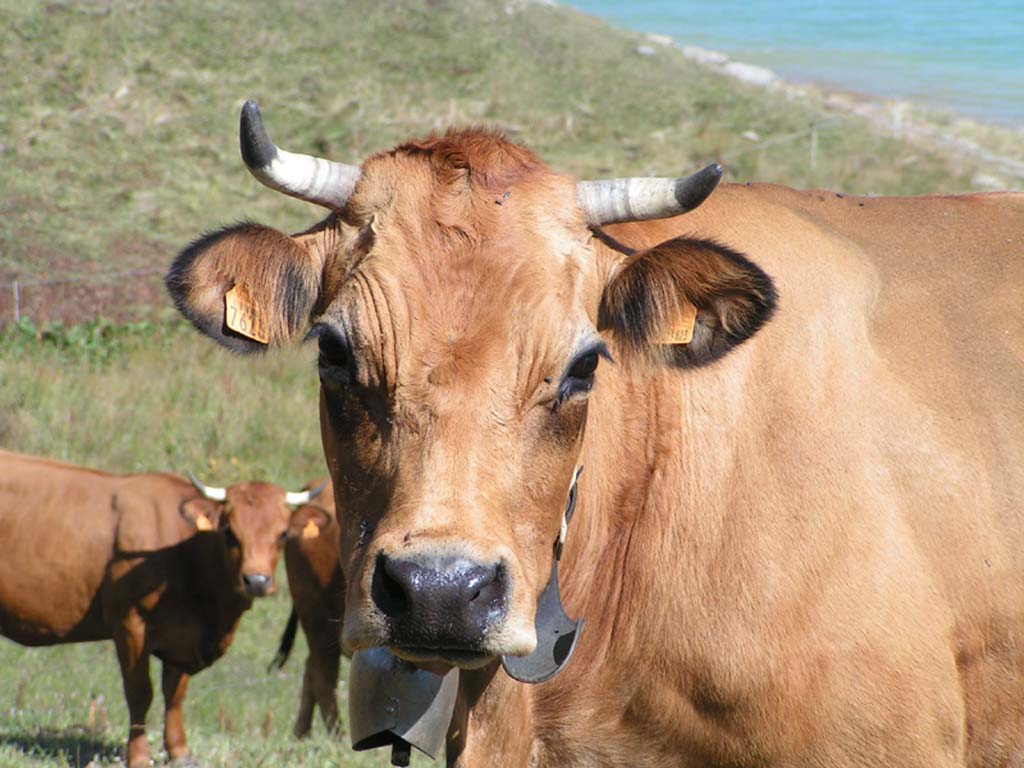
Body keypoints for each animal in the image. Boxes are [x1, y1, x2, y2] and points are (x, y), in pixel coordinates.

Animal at [0, 450, 327, 768]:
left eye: (283, 534)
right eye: (228, 532)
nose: (256, 581)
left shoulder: (184, 637)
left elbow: (175, 692)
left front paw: (180, 751)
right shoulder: (130, 623)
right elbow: (140, 691)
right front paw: (139, 755)